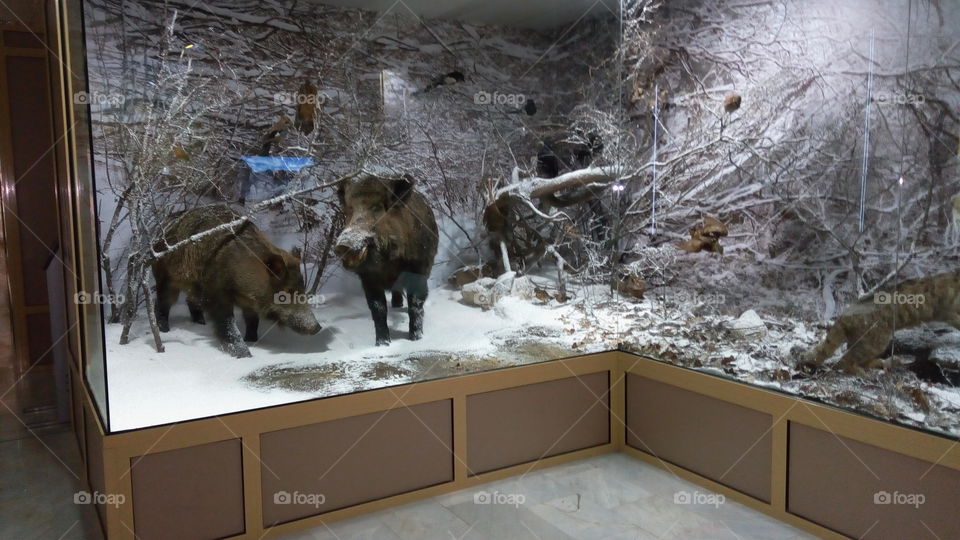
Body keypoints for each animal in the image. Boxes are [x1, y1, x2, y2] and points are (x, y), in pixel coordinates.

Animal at [151, 204, 321, 358]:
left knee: (190, 301)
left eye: (303, 287)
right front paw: (245, 355)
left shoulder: (249, 304)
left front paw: (252, 341)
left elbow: (252, 321)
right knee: (163, 303)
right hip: (165, 277)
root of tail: (160, 231)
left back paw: (201, 324)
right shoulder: (216, 293)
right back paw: (164, 330)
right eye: (287, 291)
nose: (317, 327)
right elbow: (228, 325)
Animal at [335, 173, 439, 346]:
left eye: (377, 208)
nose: (343, 245)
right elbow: (378, 309)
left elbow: (415, 303)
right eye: (350, 209)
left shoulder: (419, 269)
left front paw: (415, 339)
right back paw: (396, 305)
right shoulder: (368, 279)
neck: (387, 263)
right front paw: (382, 344)